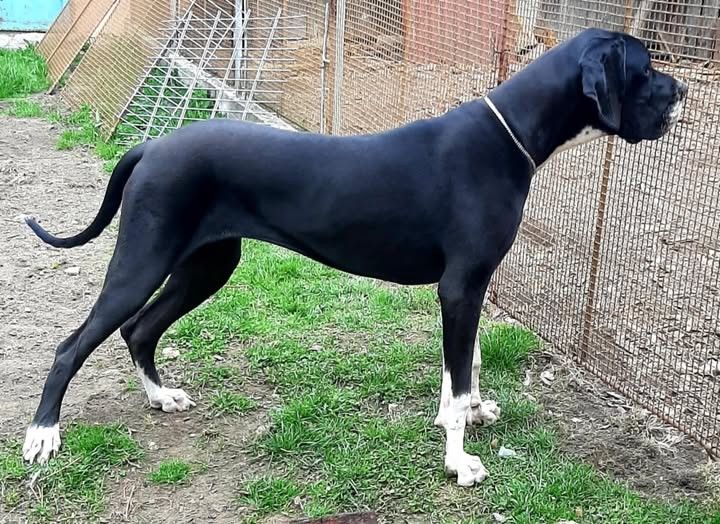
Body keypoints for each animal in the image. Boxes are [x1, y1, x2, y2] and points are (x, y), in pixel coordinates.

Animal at [21, 28, 686, 486]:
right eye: (647, 68)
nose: (683, 89)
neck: (511, 135)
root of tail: (151, 145)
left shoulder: (473, 288)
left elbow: (465, 368)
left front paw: (473, 413)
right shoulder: (460, 286)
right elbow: (455, 379)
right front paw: (459, 459)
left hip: (206, 265)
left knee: (140, 329)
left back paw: (161, 397)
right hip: (144, 260)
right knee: (72, 345)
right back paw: (43, 435)